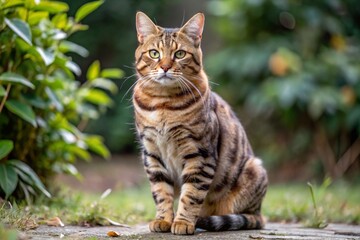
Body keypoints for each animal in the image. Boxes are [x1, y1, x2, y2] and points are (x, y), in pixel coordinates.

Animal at [132, 11, 268, 234]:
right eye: (154, 53)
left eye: (180, 54)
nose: (165, 67)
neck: (163, 104)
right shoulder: (152, 153)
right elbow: (161, 192)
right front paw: (163, 219)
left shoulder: (200, 154)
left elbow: (191, 194)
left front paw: (183, 222)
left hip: (253, 171)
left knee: (248, 216)